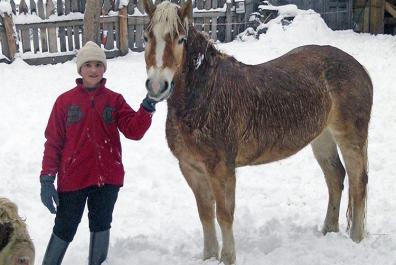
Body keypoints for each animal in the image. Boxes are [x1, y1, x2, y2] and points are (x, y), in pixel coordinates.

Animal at [142, 1, 372, 262]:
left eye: (181, 39)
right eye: (147, 37)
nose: (157, 86)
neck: (205, 95)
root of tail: (358, 67)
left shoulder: (222, 170)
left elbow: (224, 214)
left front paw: (227, 258)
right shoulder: (191, 168)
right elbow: (205, 214)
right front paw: (209, 257)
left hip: (350, 137)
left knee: (358, 181)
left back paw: (356, 238)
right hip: (322, 138)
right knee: (335, 177)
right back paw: (328, 230)